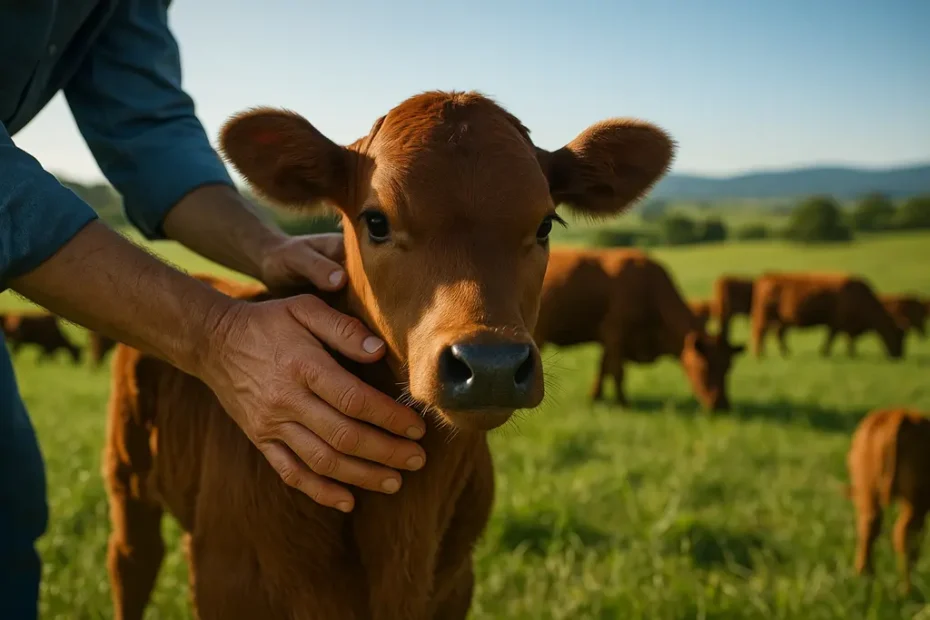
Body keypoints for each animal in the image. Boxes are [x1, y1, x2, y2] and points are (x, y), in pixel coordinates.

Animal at [103, 90, 675, 620]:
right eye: (375, 222)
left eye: (545, 225)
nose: (490, 365)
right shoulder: (228, 581)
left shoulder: (455, 584)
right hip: (128, 486)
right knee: (131, 562)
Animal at [534, 248, 745, 412]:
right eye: (704, 366)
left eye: (728, 367)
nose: (721, 405)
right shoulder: (615, 334)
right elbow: (617, 371)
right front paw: (623, 404)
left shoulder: (609, 340)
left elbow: (603, 368)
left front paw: (596, 398)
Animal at [750, 272, 905, 360]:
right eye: (897, 335)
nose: (899, 355)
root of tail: (768, 277)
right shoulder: (839, 323)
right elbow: (835, 338)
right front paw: (829, 352)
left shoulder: (841, 324)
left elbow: (842, 338)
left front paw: (850, 353)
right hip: (765, 318)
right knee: (761, 334)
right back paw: (760, 355)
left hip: (782, 320)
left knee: (778, 335)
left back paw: (783, 353)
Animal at [846, 408, 930, 593]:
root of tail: (899, 415)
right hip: (916, 500)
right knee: (906, 535)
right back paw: (907, 589)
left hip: (867, 490)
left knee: (868, 529)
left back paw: (865, 580)